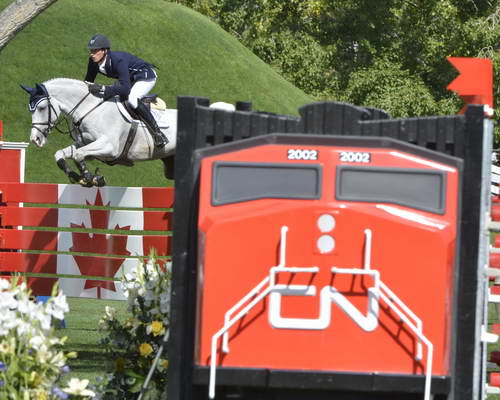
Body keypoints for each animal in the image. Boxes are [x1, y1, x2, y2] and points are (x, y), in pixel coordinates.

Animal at [21, 78, 178, 188]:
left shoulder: (110, 148)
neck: (89, 109)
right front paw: (79, 177)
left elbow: (78, 155)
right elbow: (61, 154)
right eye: (30, 109)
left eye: (41, 108)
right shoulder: (84, 144)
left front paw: (90, 178)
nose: (35, 139)